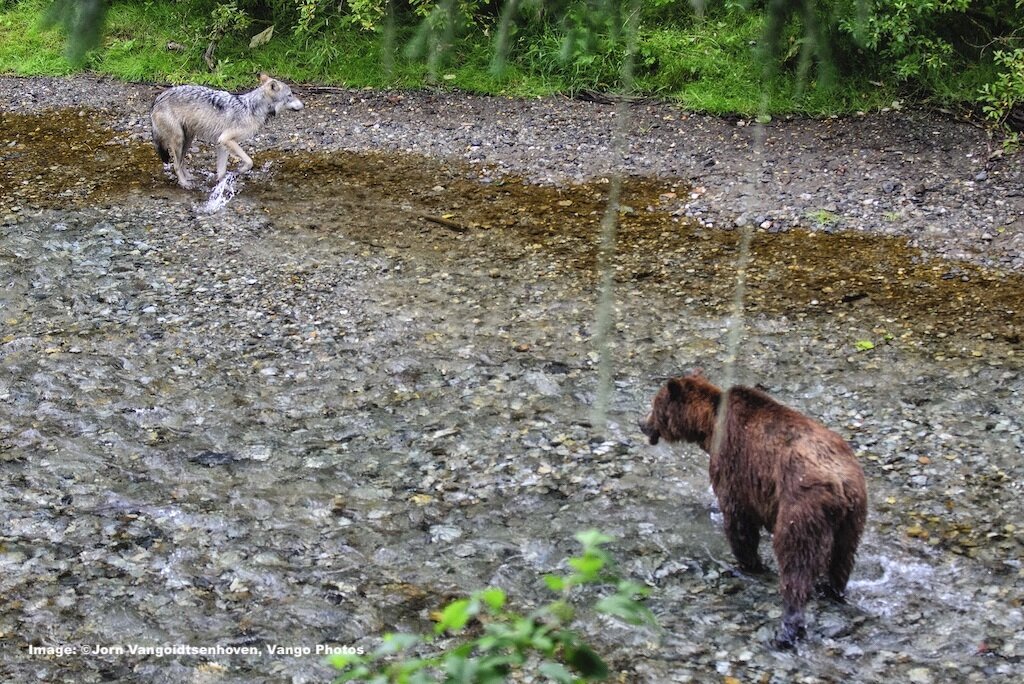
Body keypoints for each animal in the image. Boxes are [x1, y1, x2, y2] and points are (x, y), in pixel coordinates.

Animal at [150, 73, 303, 189]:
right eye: (290, 95)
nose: (304, 104)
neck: (252, 108)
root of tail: (158, 98)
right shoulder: (226, 139)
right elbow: (249, 161)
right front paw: (240, 170)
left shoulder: (221, 144)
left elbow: (222, 171)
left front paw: (221, 186)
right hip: (179, 139)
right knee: (176, 165)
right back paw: (184, 183)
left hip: (188, 139)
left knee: (181, 162)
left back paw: (189, 177)